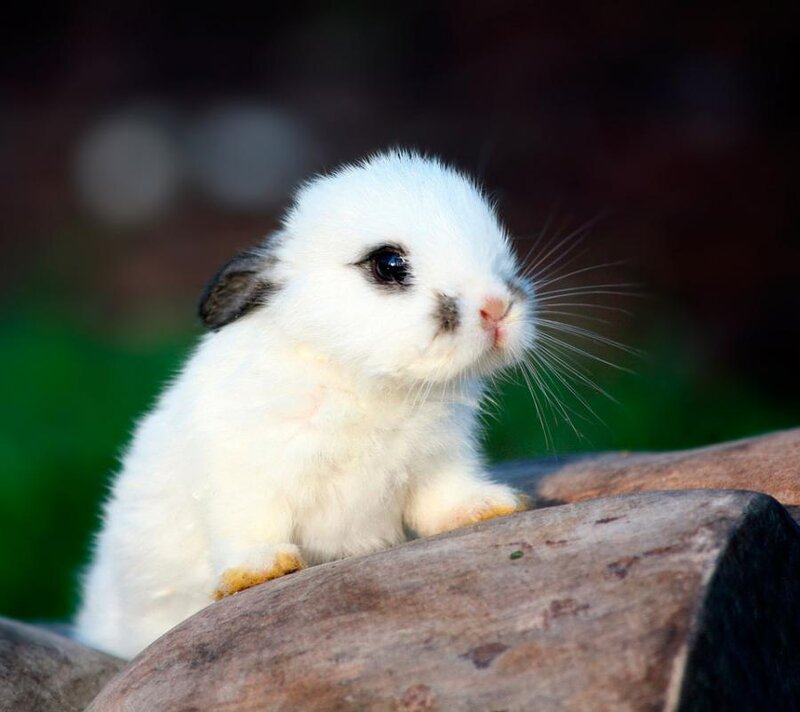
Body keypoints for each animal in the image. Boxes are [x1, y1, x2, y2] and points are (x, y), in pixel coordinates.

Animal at [75, 150, 535, 659]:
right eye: (388, 264)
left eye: (499, 249)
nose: (497, 308)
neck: (365, 381)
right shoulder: (244, 476)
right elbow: (250, 525)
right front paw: (260, 571)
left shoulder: (439, 462)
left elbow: (444, 500)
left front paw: (488, 507)